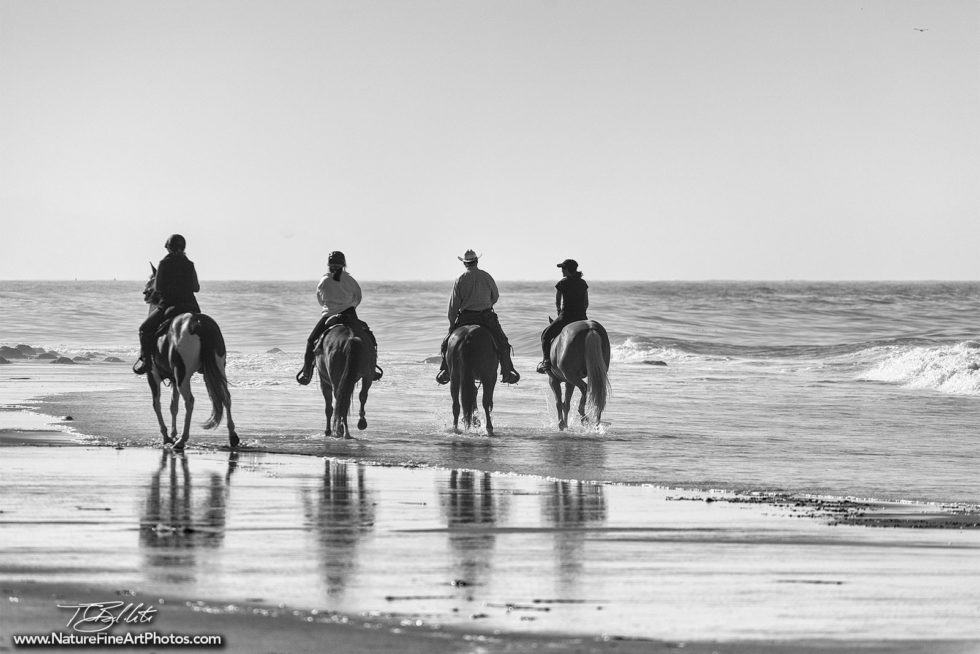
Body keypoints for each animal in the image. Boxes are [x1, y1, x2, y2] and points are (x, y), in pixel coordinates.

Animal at [141, 266, 238, 452]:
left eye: (151, 281)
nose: (145, 293)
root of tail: (197, 322)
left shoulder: (153, 375)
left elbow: (157, 404)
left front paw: (167, 436)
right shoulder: (173, 378)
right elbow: (173, 405)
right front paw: (172, 433)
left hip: (183, 375)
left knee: (190, 401)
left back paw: (181, 440)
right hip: (217, 367)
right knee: (226, 396)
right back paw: (233, 437)